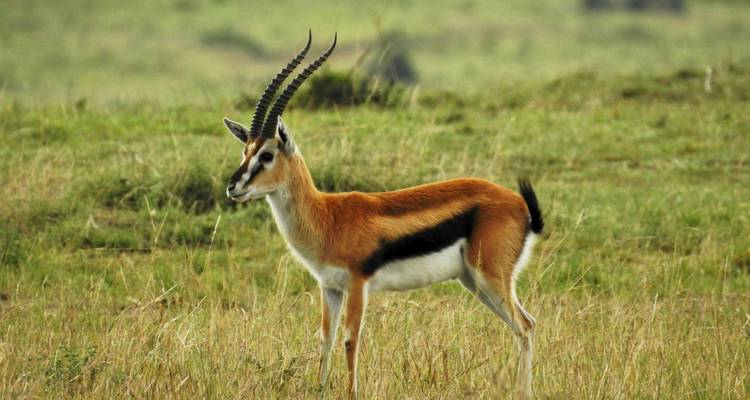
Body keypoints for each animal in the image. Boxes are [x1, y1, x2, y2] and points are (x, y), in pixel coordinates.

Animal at [223, 31, 544, 399]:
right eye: (245, 151)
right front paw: (319, 389)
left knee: (526, 325)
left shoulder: (357, 284)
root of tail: (519, 204)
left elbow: (350, 341)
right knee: (522, 326)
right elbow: (325, 340)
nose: (233, 187)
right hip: (473, 281)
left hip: (490, 276)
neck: (326, 217)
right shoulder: (330, 287)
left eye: (267, 155)